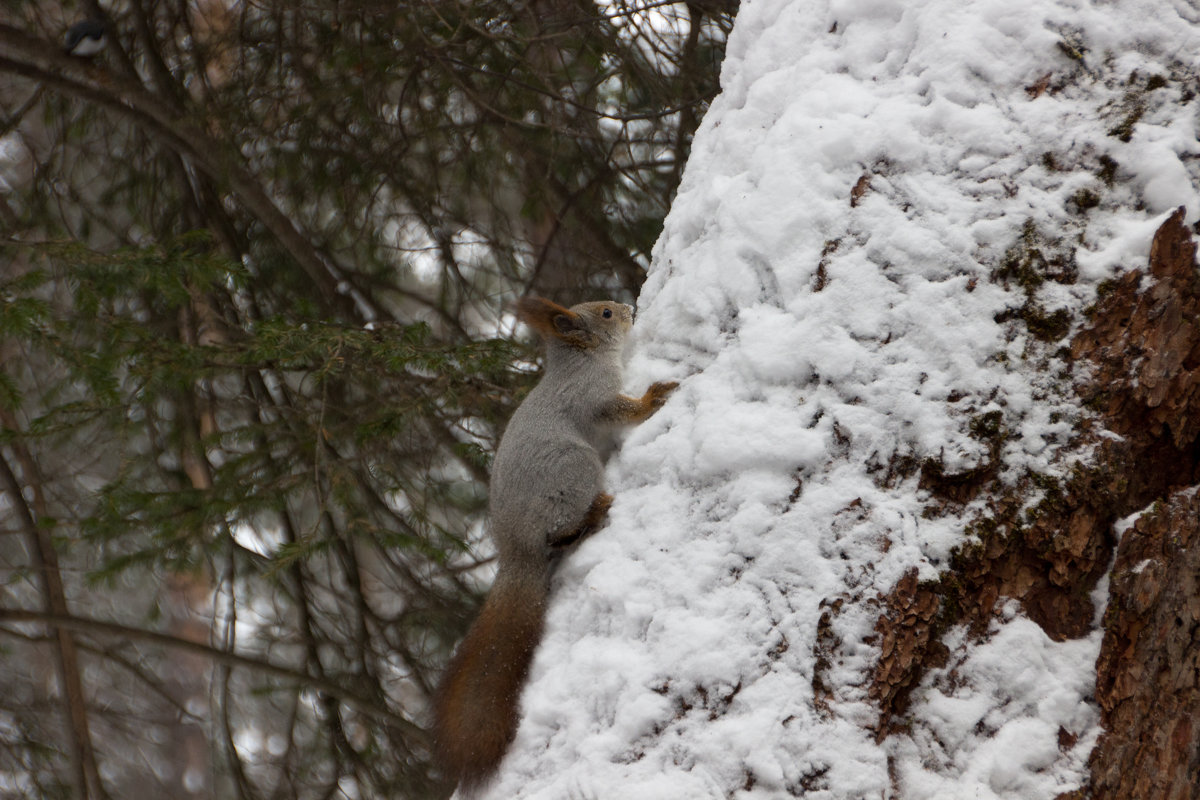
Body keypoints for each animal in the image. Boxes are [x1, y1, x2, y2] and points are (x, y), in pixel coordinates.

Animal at [432, 297, 676, 791]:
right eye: (605, 314)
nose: (627, 306)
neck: (581, 361)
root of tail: (516, 551)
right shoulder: (595, 398)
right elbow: (623, 412)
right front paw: (652, 398)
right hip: (574, 471)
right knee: (561, 533)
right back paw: (594, 516)